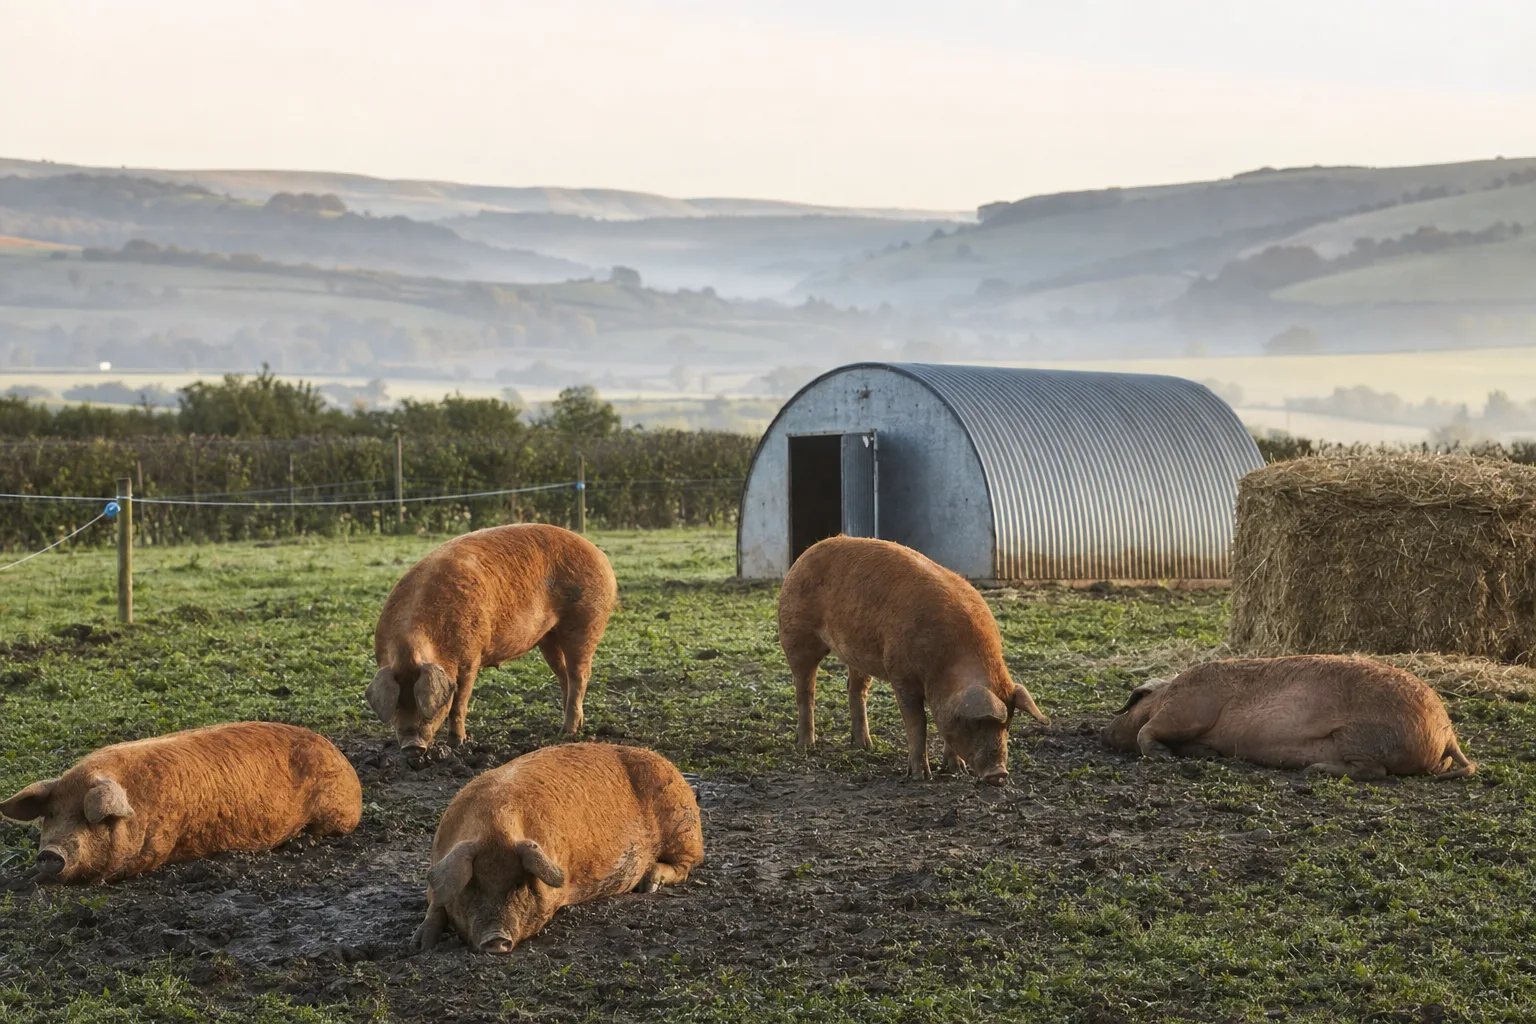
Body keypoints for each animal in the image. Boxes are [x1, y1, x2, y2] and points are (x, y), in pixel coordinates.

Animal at [0, 721, 362, 883]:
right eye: (50, 814)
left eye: (89, 817)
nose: (50, 853)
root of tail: (344, 761)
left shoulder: (158, 846)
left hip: (336, 812)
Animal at [367, 523, 619, 753]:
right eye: (396, 705)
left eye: (427, 706)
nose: (412, 747)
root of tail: (600, 555)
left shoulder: (470, 657)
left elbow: (459, 703)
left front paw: (457, 744)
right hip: (548, 637)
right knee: (563, 674)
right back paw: (570, 726)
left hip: (585, 622)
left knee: (579, 675)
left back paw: (567, 732)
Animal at [412, 742, 704, 954]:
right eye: (472, 886)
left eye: (520, 885)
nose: (496, 940)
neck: (493, 828)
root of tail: (672, 767)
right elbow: (436, 903)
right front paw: (420, 945)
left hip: (684, 827)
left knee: (687, 864)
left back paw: (648, 885)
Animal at [777, 535, 1049, 786]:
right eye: (976, 723)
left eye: (1008, 724)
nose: (999, 774)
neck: (947, 663)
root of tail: (806, 553)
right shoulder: (902, 675)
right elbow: (918, 722)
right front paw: (920, 776)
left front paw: (957, 771)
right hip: (796, 635)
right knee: (805, 690)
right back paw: (806, 747)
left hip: (857, 654)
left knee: (856, 690)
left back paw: (865, 745)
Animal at [1100, 655, 1477, 780]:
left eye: (1133, 701)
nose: (1103, 732)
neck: (1167, 691)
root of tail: (1447, 734)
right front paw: (1209, 755)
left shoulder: (1187, 709)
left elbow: (1147, 731)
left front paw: (1162, 756)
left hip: (1360, 737)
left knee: (1375, 772)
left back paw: (1314, 771)